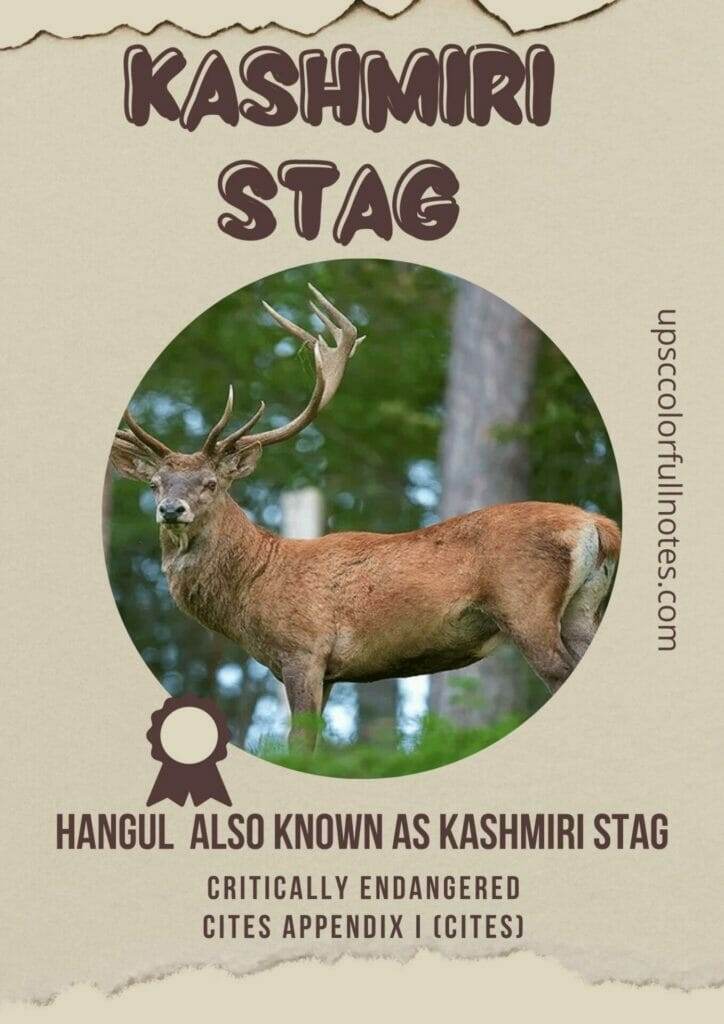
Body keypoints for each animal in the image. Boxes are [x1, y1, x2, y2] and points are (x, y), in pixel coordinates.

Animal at [111, 284, 620, 751]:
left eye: (212, 483)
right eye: (155, 484)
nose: (171, 509)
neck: (253, 588)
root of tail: (598, 526)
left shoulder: (303, 651)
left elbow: (300, 746)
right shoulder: (331, 672)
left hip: (526, 606)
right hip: (582, 611)